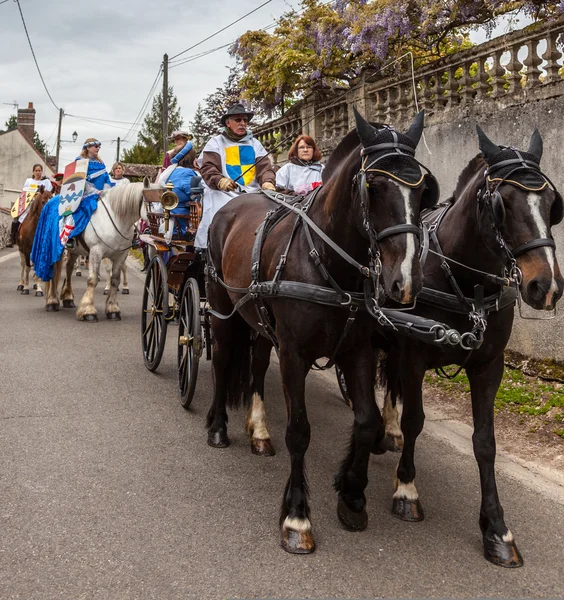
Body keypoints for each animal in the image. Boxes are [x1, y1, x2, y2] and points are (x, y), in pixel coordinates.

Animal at [44, 178, 161, 322]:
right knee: (54, 271)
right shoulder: (96, 252)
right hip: (56, 248)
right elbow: (93, 279)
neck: (116, 219)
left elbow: (115, 280)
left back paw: (68, 298)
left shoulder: (120, 256)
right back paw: (52, 301)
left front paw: (112, 309)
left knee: (69, 269)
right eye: (151, 203)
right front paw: (88, 311)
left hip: (75, 250)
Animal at [205, 110, 438, 556]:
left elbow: (366, 421)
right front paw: (297, 516)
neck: (328, 260)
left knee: (255, 367)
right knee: (224, 362)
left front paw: (352, 496)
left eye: (423, 191)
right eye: (374, 186)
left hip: (261, 324)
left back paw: (259, 430)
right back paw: (218, 427)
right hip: (223, 310)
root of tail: (238, 200)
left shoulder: (358, 350)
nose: (406, 282)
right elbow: (299, 432)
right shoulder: (294, 354)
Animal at [376, 125, 560, 568]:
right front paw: (406, 490)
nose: (545, 287)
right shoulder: (414, 354)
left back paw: (388, 428)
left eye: (552, 202)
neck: (466, 280)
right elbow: (416, 420)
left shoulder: (488, 366)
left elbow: (486, 442)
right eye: (502, 203)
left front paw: (496, 528)